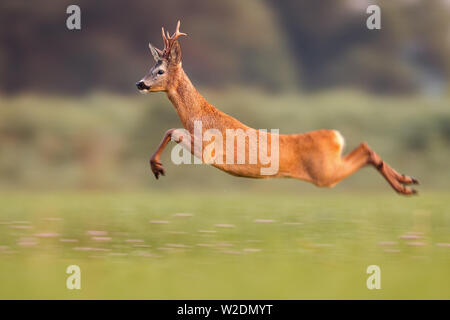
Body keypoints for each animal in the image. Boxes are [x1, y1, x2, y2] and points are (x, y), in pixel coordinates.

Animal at [135, 21, 420, 195]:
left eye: (160, 71)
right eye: (149, 67)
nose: (140, 83)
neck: (200, 116)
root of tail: (335, 137)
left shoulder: (208, 150)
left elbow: (173, 130)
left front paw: (157, 167)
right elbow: (170, 130)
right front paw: (155, 166)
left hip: (324, 173)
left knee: (365, 150)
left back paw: (405, 186)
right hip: (328, 169)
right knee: (365, 148)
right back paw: (408, 182)